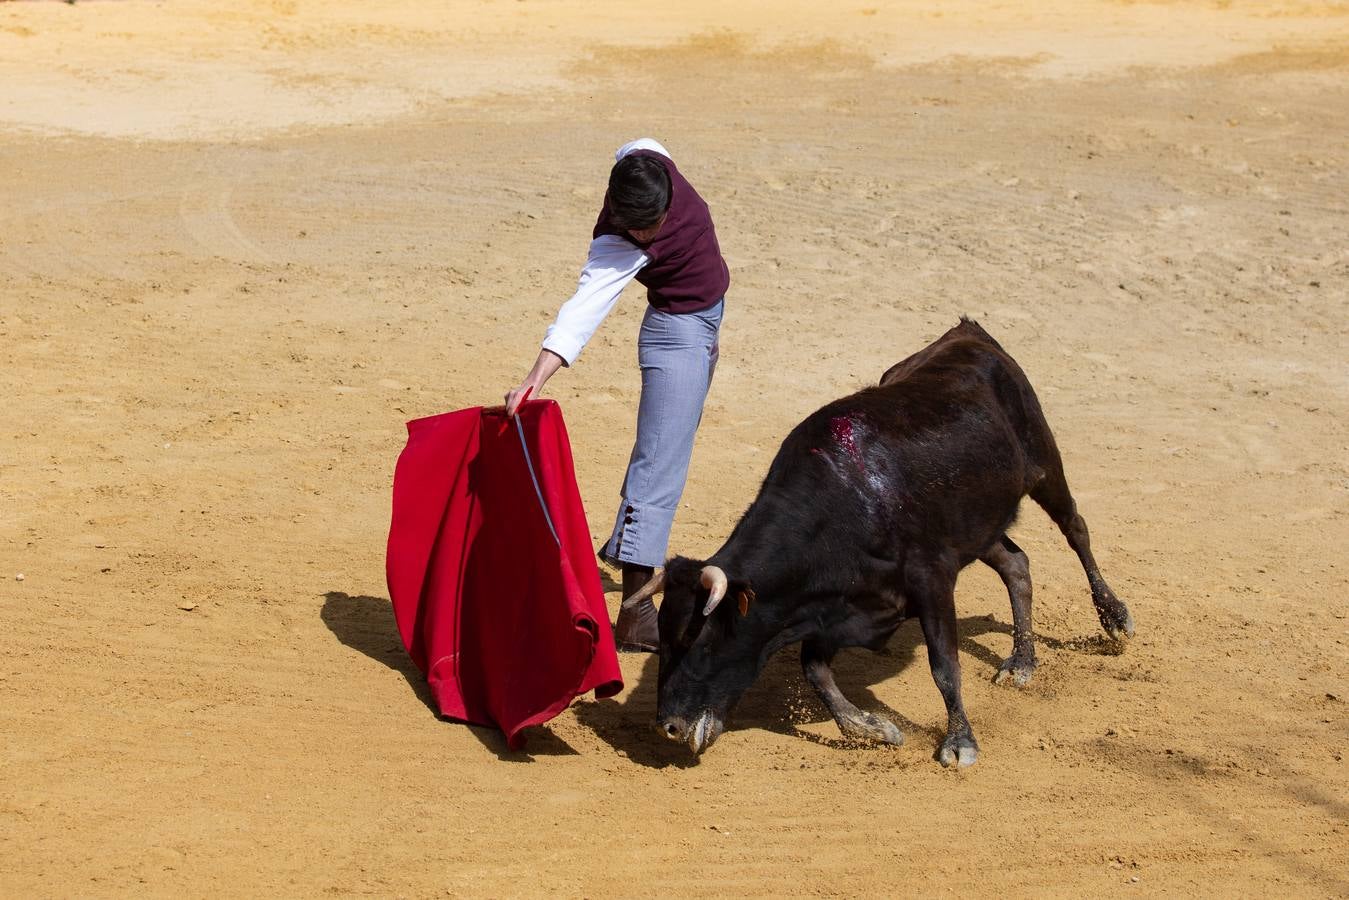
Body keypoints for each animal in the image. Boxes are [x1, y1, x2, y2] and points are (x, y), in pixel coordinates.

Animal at [625, 318, 1133, 766]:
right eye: (664, 636)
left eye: (700, 639)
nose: (667, 727)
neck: (843, 504)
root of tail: (968, 333)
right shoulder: (837, 610)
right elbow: (815, 670)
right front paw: (875, 729)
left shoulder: (931, 580)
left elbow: (944, 666)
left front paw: (959, 743)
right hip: (976, 528)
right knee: (1016, 564)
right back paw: (1022, 662)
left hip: (1044, 466)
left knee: (1076, 530)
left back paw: (1115, 619)